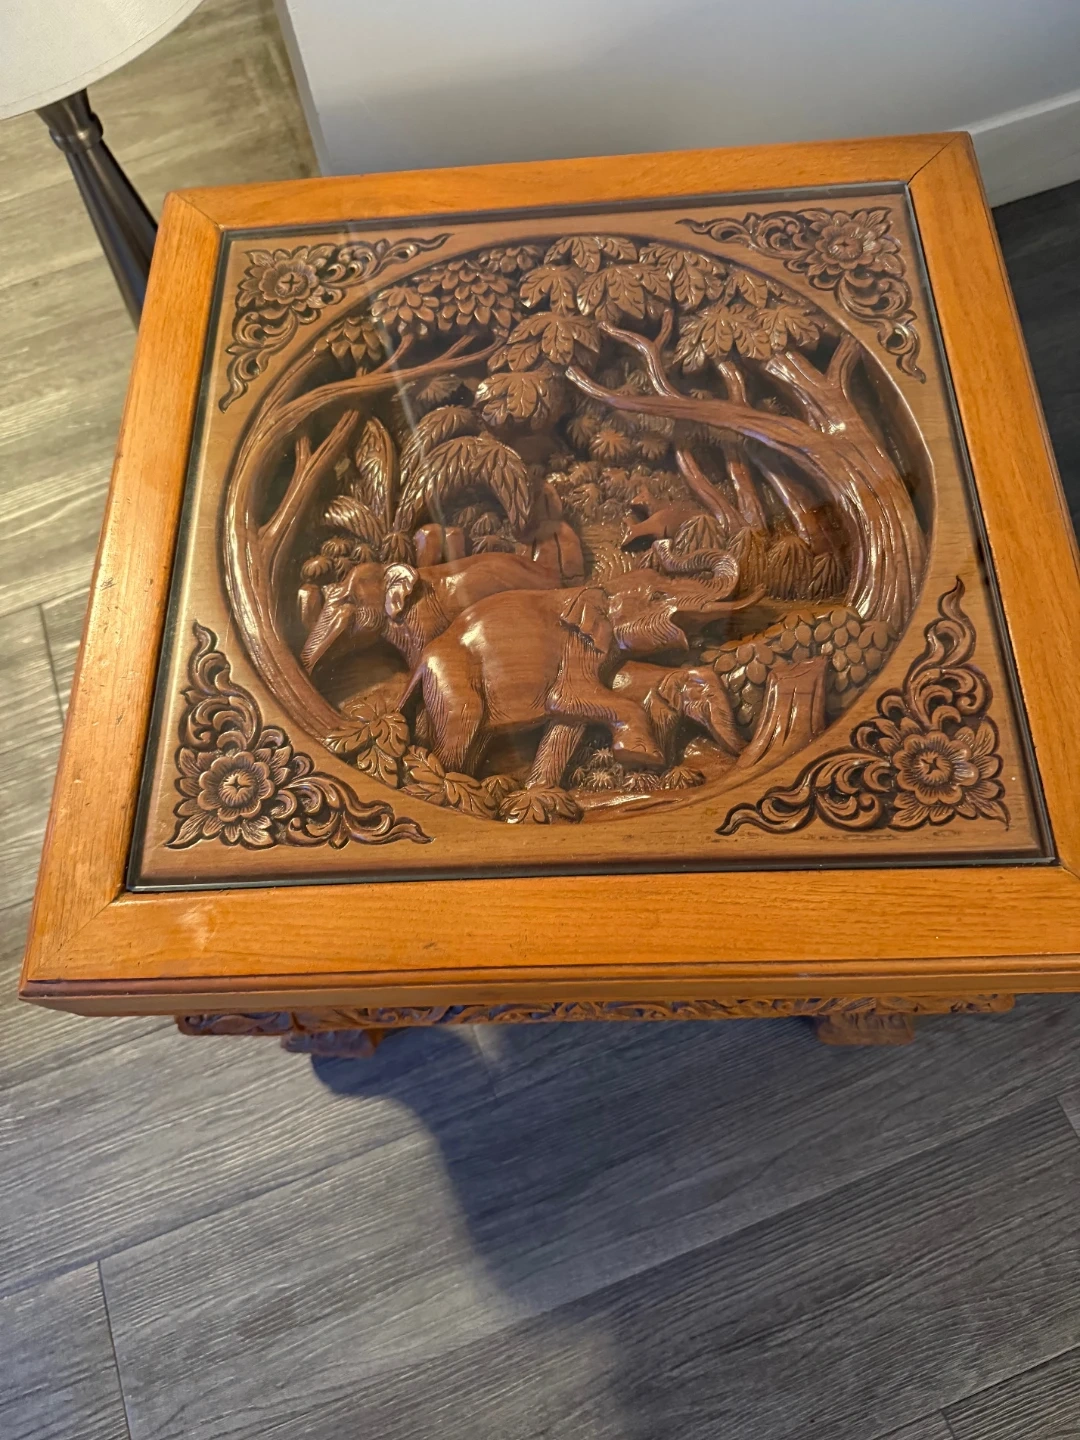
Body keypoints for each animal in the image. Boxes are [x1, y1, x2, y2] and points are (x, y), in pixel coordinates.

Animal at [402, 564, 758, 779]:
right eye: (658, 596)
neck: (597, 589)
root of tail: (422, 661)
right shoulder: (577, 647)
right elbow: (565, 698)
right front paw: (642, 756)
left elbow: (568, 719)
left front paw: (538, 790)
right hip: (453, 680)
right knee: (461, 726)